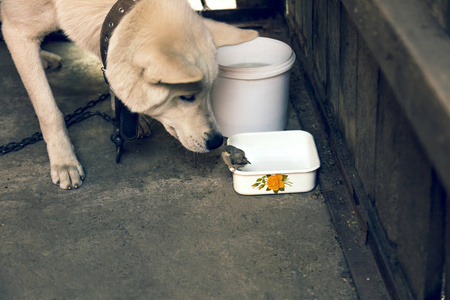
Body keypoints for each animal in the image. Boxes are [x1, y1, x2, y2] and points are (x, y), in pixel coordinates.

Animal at [0, 0, 256, 190]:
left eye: (210, 92)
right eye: (186, 97)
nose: (216, 141)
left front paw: (129, 117)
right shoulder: (17, 32)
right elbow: (48, 110)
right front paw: (64, 161)